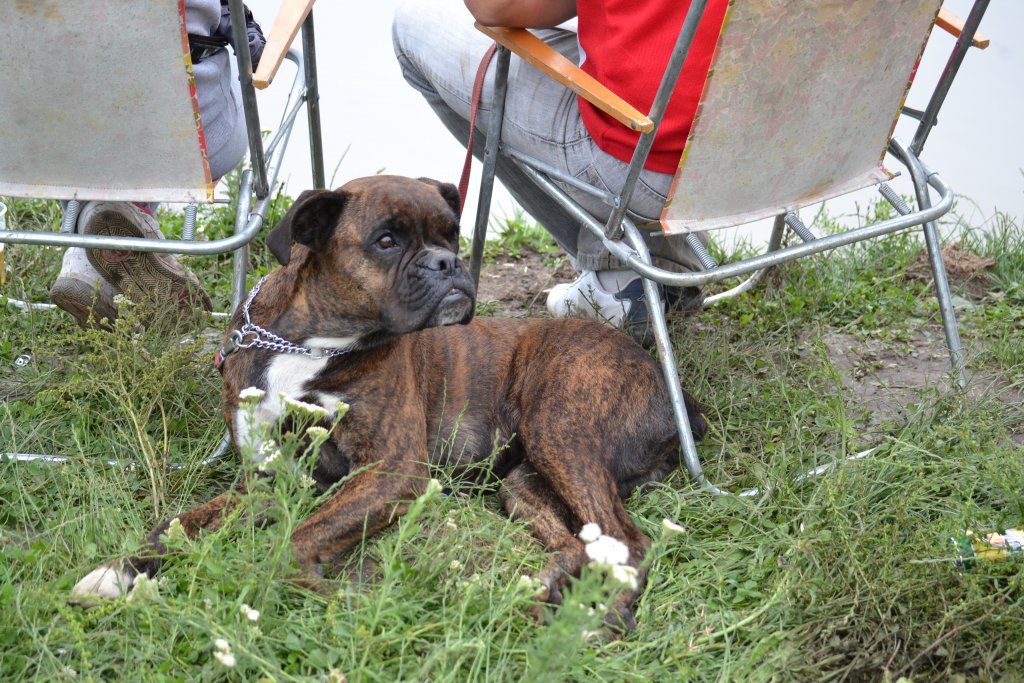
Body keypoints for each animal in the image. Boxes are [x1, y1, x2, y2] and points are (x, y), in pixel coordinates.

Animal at [71, 175, 708, 631]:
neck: (309, 342)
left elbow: (294, 544)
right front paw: (119, 571)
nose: (449, 263)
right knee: (582, 544)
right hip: (524, 484)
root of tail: (664, 379)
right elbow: (175, 524)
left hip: (561, 427)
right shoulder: (266, 479)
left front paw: (326, 591)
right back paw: (545, 590)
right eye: (386, 241)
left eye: (450, 234)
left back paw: (599, 619)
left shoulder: (390, 472)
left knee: (629, 542)